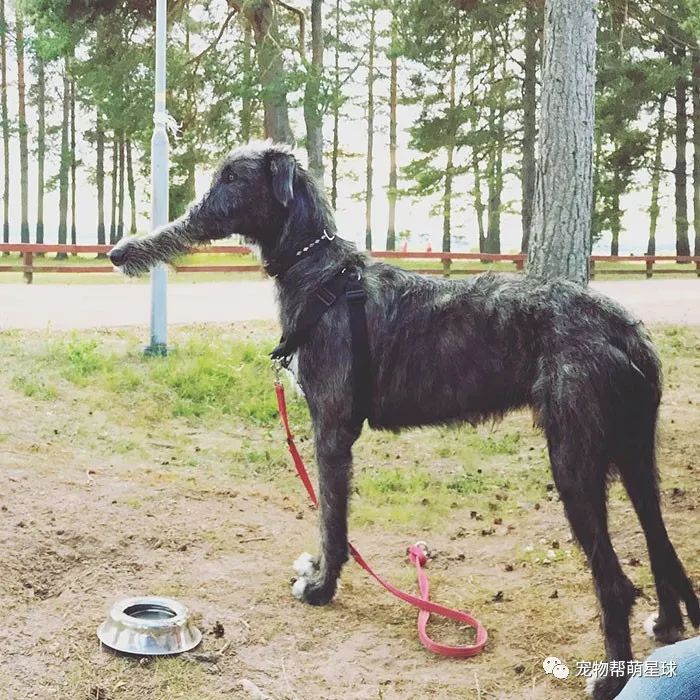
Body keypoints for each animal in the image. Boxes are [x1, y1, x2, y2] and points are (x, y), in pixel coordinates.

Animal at [110, 142, 700, 700]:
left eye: (231, 178)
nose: (117, 252)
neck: (317, 270)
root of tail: (628, 329)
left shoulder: (331, 429)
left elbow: (332, 521)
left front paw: (320, 587)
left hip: (574, 458)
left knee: (616, 580)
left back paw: (610, 678)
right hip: (634, 450)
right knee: (659, 543)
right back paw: (670, 625)